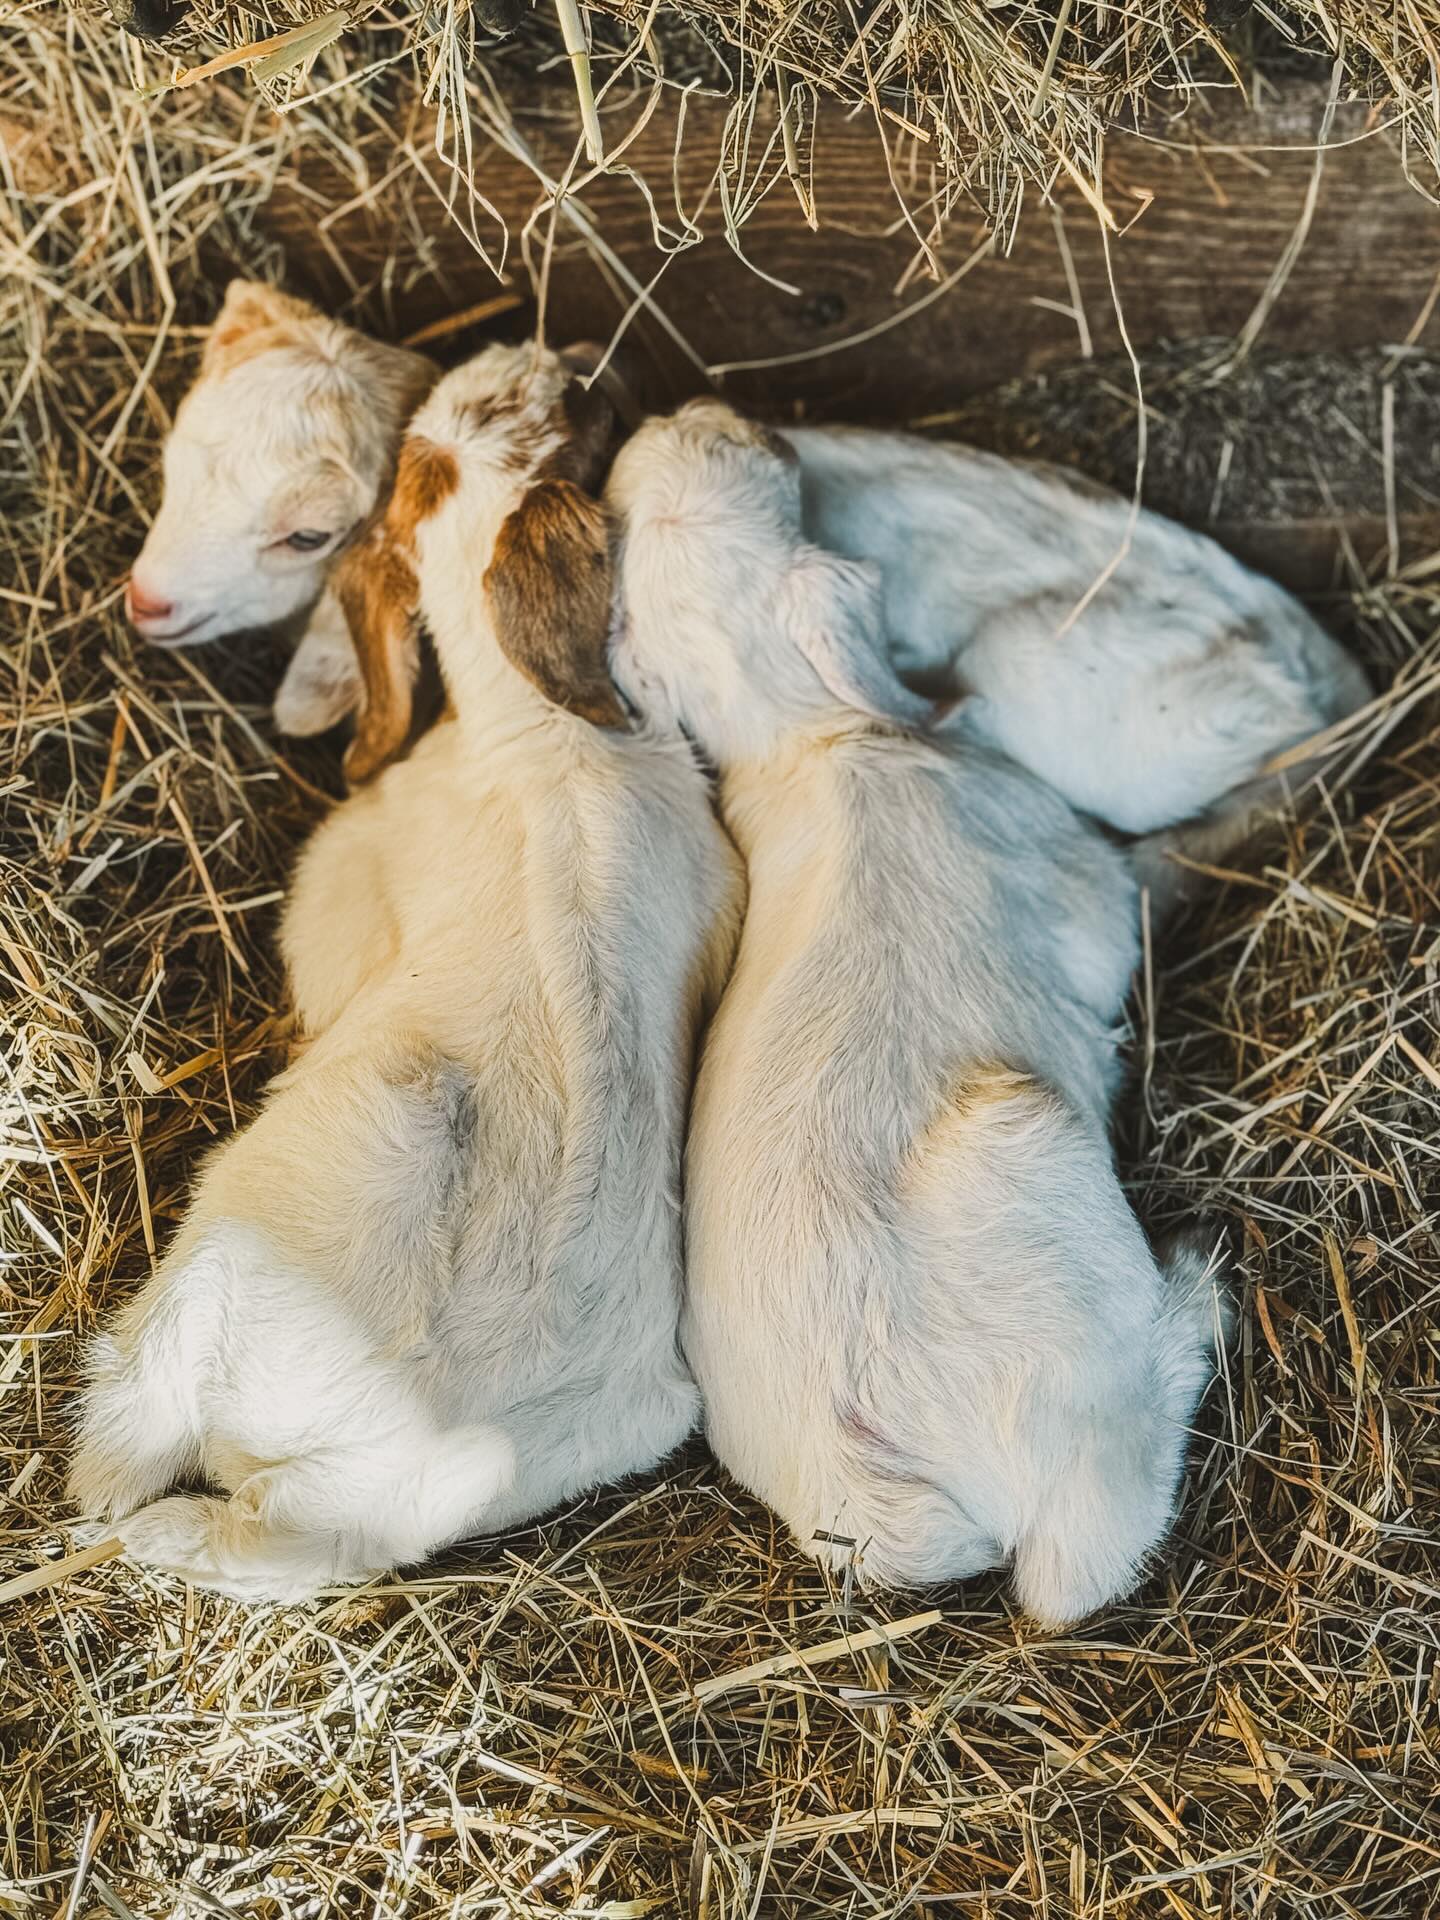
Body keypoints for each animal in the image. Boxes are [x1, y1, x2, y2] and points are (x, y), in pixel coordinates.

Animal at [69, 347, 743, 1604]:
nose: (552, 359)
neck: (550, 731)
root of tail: (351, 1453)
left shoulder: (346, 870)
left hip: (203, 1273)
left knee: (121, 1451)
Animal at [604, 398, 1229, 1627]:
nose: (687, 412)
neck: (812, 737)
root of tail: (884, 1488)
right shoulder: (1084, 883)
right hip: (1036, 1165)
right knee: (1084, 1560)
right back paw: (1198, 1292)